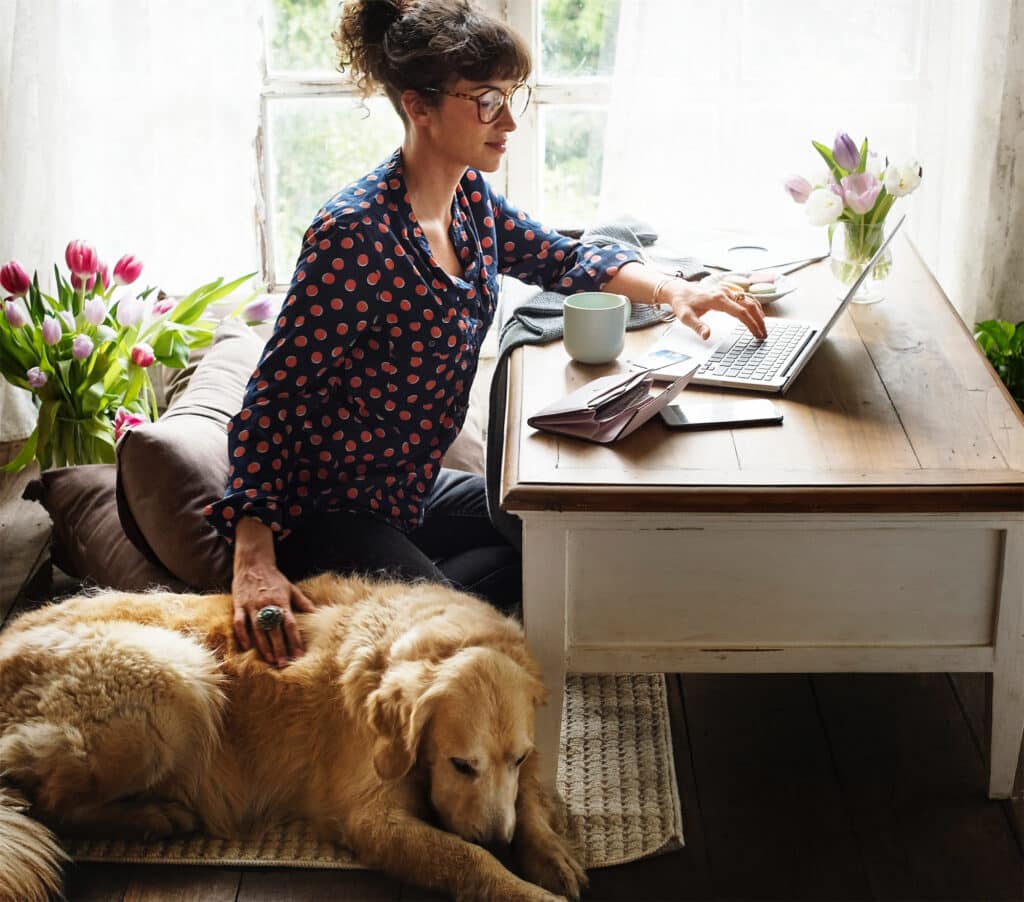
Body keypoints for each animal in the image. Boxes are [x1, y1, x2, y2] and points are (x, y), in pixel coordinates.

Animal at [0, 573, 585, 896]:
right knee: (54, 804)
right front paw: (522, 884)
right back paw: (154, 817)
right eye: (461, 765)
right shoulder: (370, 818)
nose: (498, 839)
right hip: (176, 676)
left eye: (517, 758)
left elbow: (529, 801)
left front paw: (548, 853)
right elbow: (467, 860)